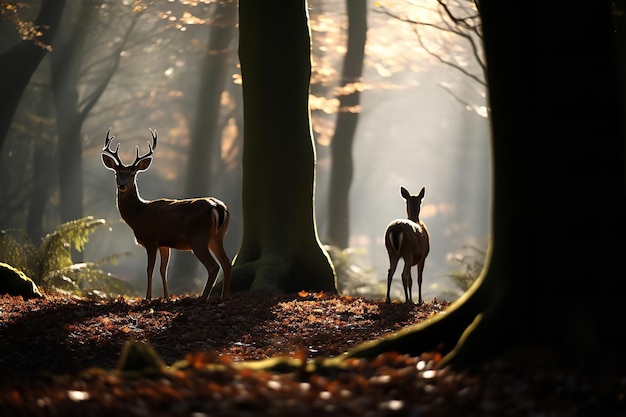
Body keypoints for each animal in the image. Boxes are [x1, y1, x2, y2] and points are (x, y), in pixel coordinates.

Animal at [101, 128, 230, 300]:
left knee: (214, 266)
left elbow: (149, 269)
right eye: (116, 173)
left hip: (198, 237)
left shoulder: (150, 239)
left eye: (133, 174)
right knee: (227, 263)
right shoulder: (164, 244)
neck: (137, 214)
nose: (122, 185)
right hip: (218, 237)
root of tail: (218, 206)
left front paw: (148, 297)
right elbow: (163, 270)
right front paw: (167, 297)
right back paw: (224, 297)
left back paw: (203, 298)